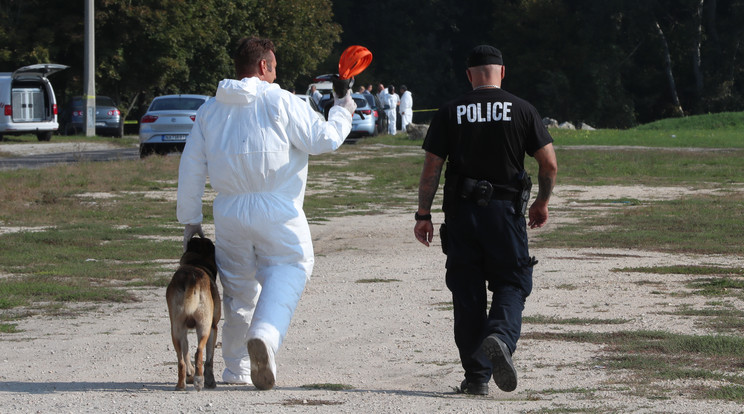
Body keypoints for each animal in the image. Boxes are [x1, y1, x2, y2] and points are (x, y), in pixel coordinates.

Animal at [169, 236, 224, 392]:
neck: (196, 263)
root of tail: (191, 277)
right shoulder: (213, 327)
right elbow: (209, 359)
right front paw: (209, 380)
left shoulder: (184, 330)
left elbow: (186, 352)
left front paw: (189, 375)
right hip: (204, 326)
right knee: (199, 352)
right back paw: (200, 381)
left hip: (176, 329)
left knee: (181, 361)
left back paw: (181, 385)